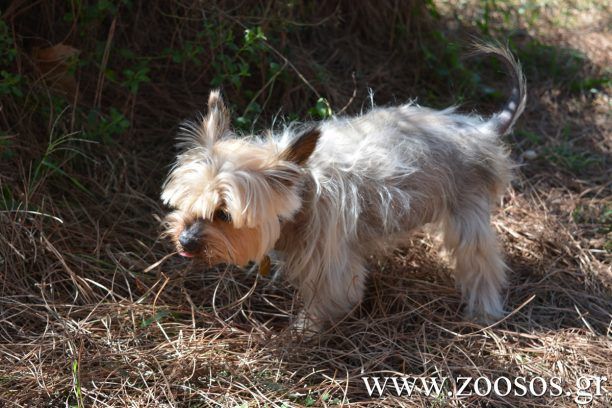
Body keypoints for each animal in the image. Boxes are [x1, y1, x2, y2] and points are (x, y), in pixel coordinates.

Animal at [161, 44, 524, 332]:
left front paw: (302, 333)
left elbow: (329, 298)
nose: (185, 242)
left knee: (481, 261)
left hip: (468, 209)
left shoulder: (331, 261)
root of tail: (481, 130)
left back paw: (483, 312)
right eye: (186, 203)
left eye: (224, 214)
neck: (302, 193)